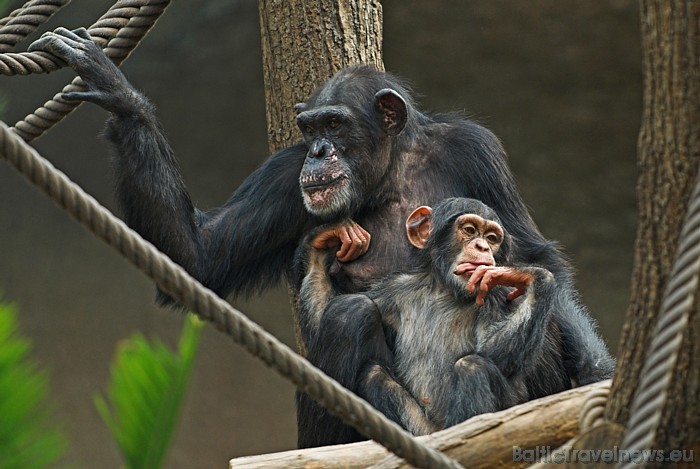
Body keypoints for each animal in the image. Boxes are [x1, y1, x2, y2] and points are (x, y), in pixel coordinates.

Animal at [296, 198, 568, 446]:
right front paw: (320, 243)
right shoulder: (392, 290)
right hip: (419, 429)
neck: (445, 289)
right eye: (470, 230)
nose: (482, 246)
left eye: (492, 237)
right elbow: (319, 324)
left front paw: (533, 276)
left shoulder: (496, 295)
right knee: (354, 322)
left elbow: (497, 354)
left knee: (472, 367)